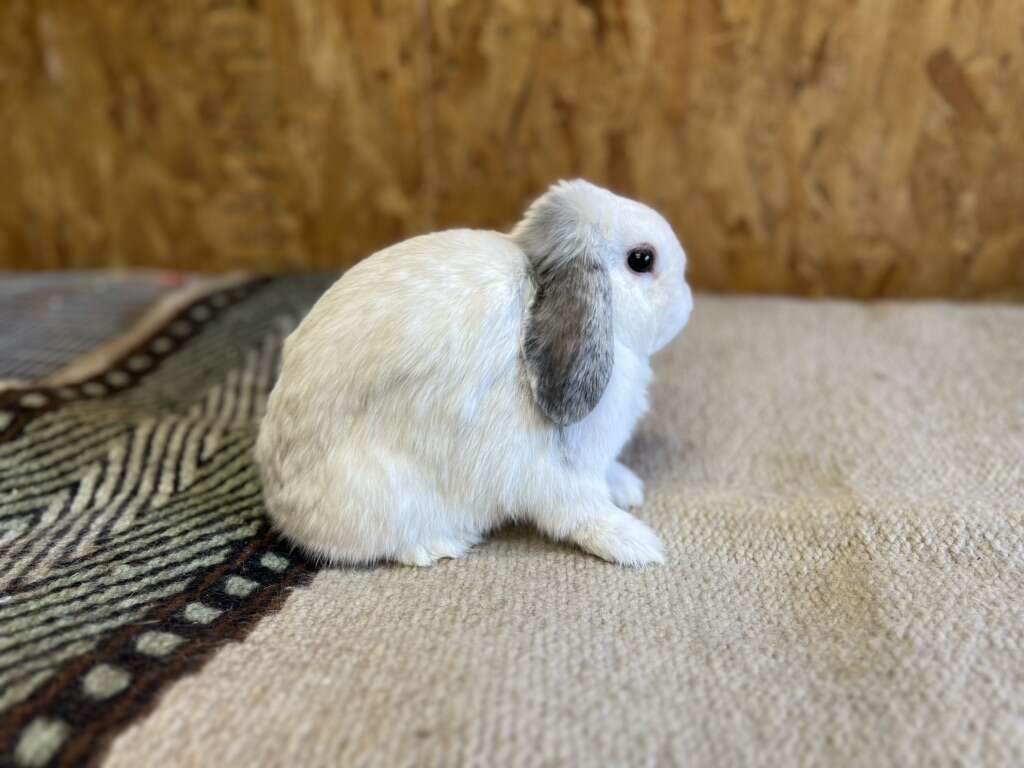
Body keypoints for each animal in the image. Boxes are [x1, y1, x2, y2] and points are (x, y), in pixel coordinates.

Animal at [251, 179, 692, 565]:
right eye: (642, 259)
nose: (687, 302)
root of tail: (283, 510)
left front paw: (628, 487)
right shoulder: (552, 473)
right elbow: (579, 513)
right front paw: (637, 544)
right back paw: (441, 545)